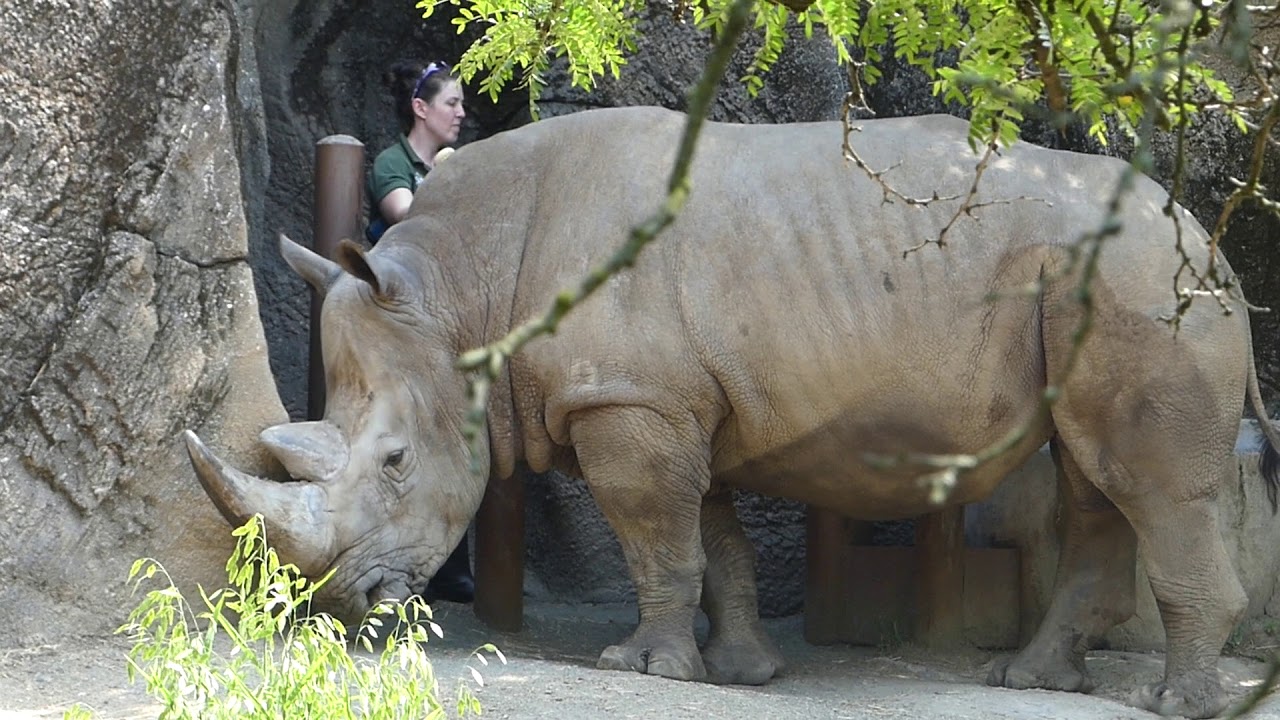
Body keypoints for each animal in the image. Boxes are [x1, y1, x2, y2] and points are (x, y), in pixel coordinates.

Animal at [184, 107, 1280, 718]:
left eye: (398, 464)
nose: (347, 606)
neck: (462, 298)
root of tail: (1210, 242)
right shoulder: (670, 400)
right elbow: (714, 542)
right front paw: (743, 670)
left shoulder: (631, 404)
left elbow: (654, 541)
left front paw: (646, 667)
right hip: (1100, 282)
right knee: (1094, 480)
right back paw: (1032, 681)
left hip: (1142, 283)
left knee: (1147, 486)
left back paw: (1174, 704)